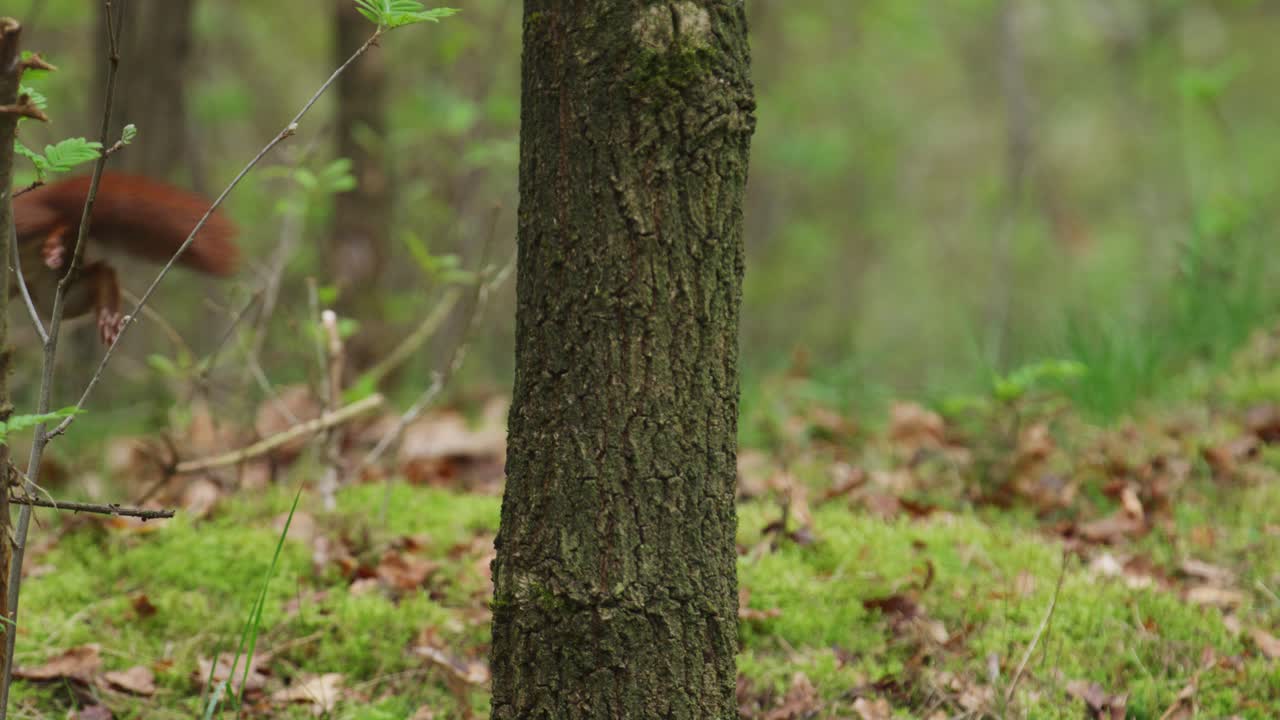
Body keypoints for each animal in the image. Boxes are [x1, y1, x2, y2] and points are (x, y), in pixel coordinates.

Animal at [12, 172, 240, 344]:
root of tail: (33, 195)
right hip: (49, 290)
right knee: (99, 271)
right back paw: (108, 315)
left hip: (24, 225)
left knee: (57, 220)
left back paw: (55, 244)